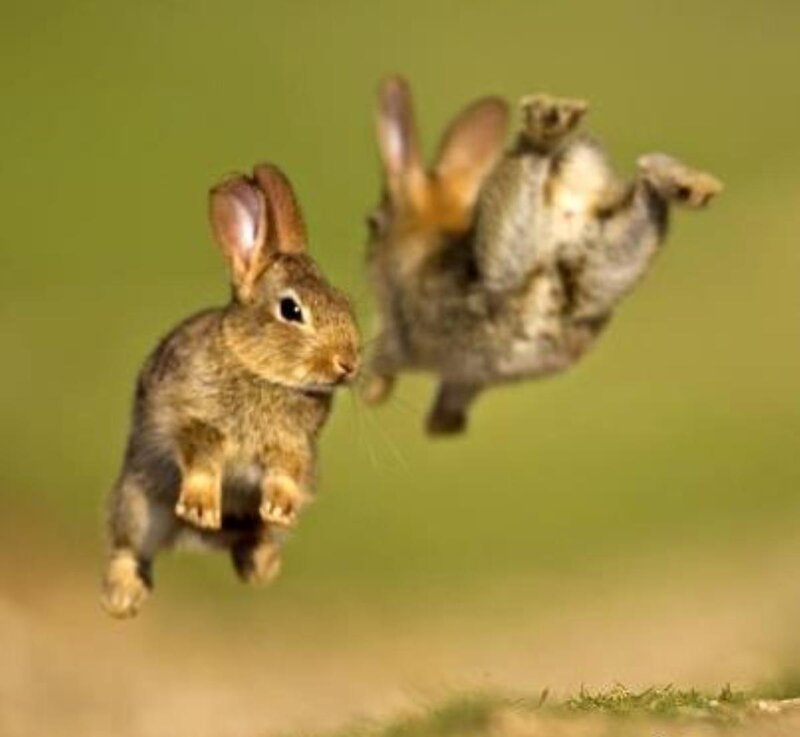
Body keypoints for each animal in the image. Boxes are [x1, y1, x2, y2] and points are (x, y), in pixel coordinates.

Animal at [101, 163, 360, 618]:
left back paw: (261, 564)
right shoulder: (194, 421)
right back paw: (122, 597)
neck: (259, 370)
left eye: (344, 302)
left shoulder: (294, 445)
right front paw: (201, 507)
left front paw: (280, 506)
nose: (348, 363)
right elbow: (202, 460)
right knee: (130, 546)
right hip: (138, 503)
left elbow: (285, 472)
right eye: (291, 310)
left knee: (253, 538)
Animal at [362, 76, 722, 435]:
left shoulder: (398, 329)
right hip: (607, 265)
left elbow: (383, 355)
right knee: (647, 196)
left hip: (501, 261)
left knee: (528, 165)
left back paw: (546, 123)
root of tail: (570, 196)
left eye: (372, 223)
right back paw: (690, 184)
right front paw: (443, 421)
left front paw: (375, 394)